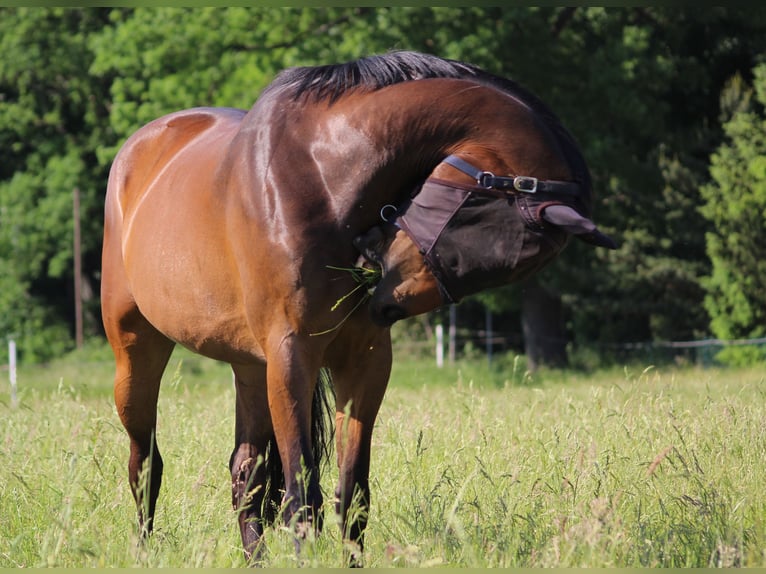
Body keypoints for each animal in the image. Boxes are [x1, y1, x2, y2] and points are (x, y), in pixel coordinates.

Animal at [101, 51, 614, 565]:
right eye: (472, 222)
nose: (383, 299)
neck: (321, 175)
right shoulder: (292, 356)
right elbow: (302, 497)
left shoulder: (363, 363)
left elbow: (353, 497)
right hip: (138, 351)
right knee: (145, 462)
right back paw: (143, 550)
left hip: (249, 367)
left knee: (246, 473)